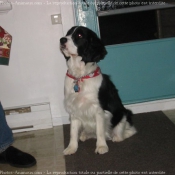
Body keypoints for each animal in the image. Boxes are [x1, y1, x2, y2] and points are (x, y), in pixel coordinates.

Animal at [60, 26, 137, 154]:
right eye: (68, 33)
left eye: (79, 35)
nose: (62, 40)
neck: (80, 76)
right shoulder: (74, 108)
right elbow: (73, 132)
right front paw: (71, 148)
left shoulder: (99, 109)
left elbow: (100, 130)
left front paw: (101, 146)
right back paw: (84, 135)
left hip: (123, 114)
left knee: (128, 131)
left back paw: (116, 136)